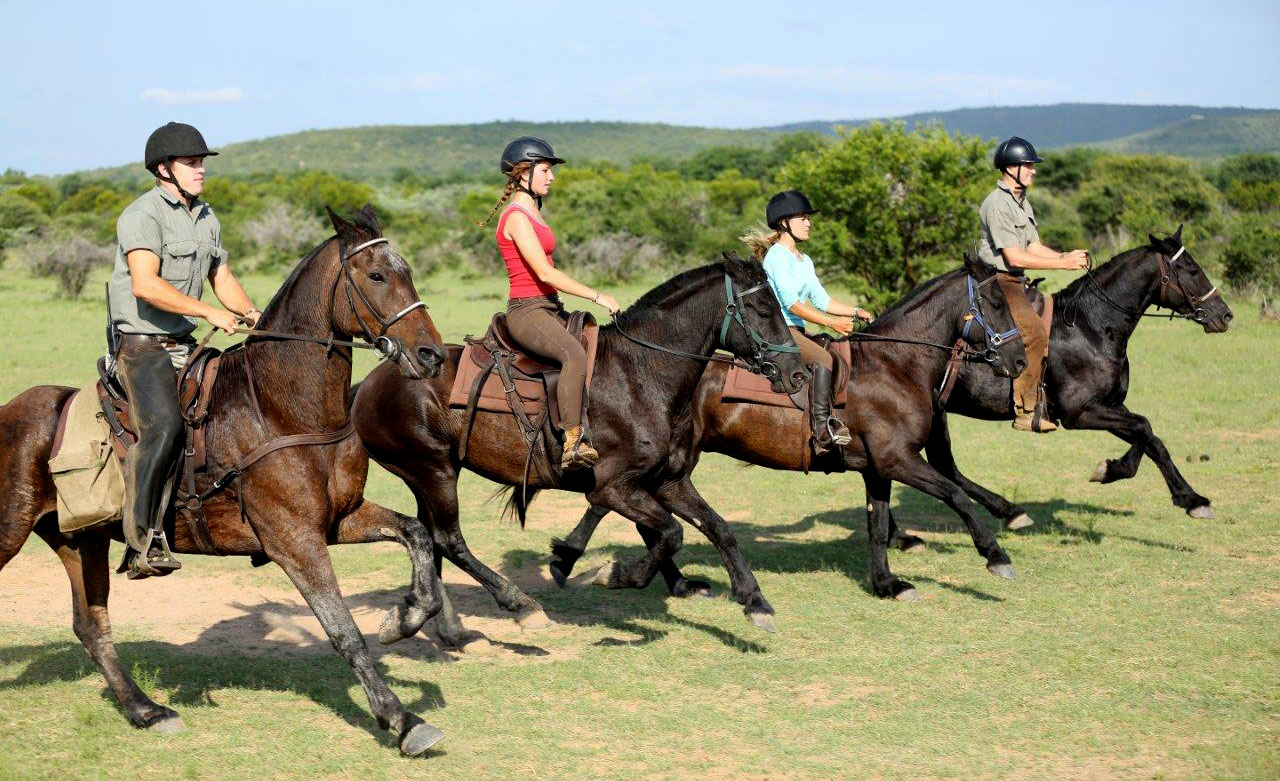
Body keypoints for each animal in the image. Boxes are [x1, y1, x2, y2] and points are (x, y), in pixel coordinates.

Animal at [0, 203, 450, 752]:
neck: (280, 408)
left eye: (408, 271)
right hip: (14, 531)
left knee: (92, 625)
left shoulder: (340, 520)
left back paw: (147, 711)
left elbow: (417, 535)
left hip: (79, 540)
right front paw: (401, 719)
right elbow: (343, 630)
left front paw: (402, 619)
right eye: (378, 275)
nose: (432, 356)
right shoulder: (293, 541)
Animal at [350, 256, 808, 632]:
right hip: (434, 472)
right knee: (448, 540)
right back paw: (518, 606)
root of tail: (368, 385)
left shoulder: (668, 482)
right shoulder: (612, 487)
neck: (640, 374)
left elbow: (718, 528)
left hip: (430, 476)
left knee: (429, 537)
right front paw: (612, 574)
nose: (799, 374)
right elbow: (670, 533)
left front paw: (755, 601)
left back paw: (439, 623)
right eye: (763, 310)